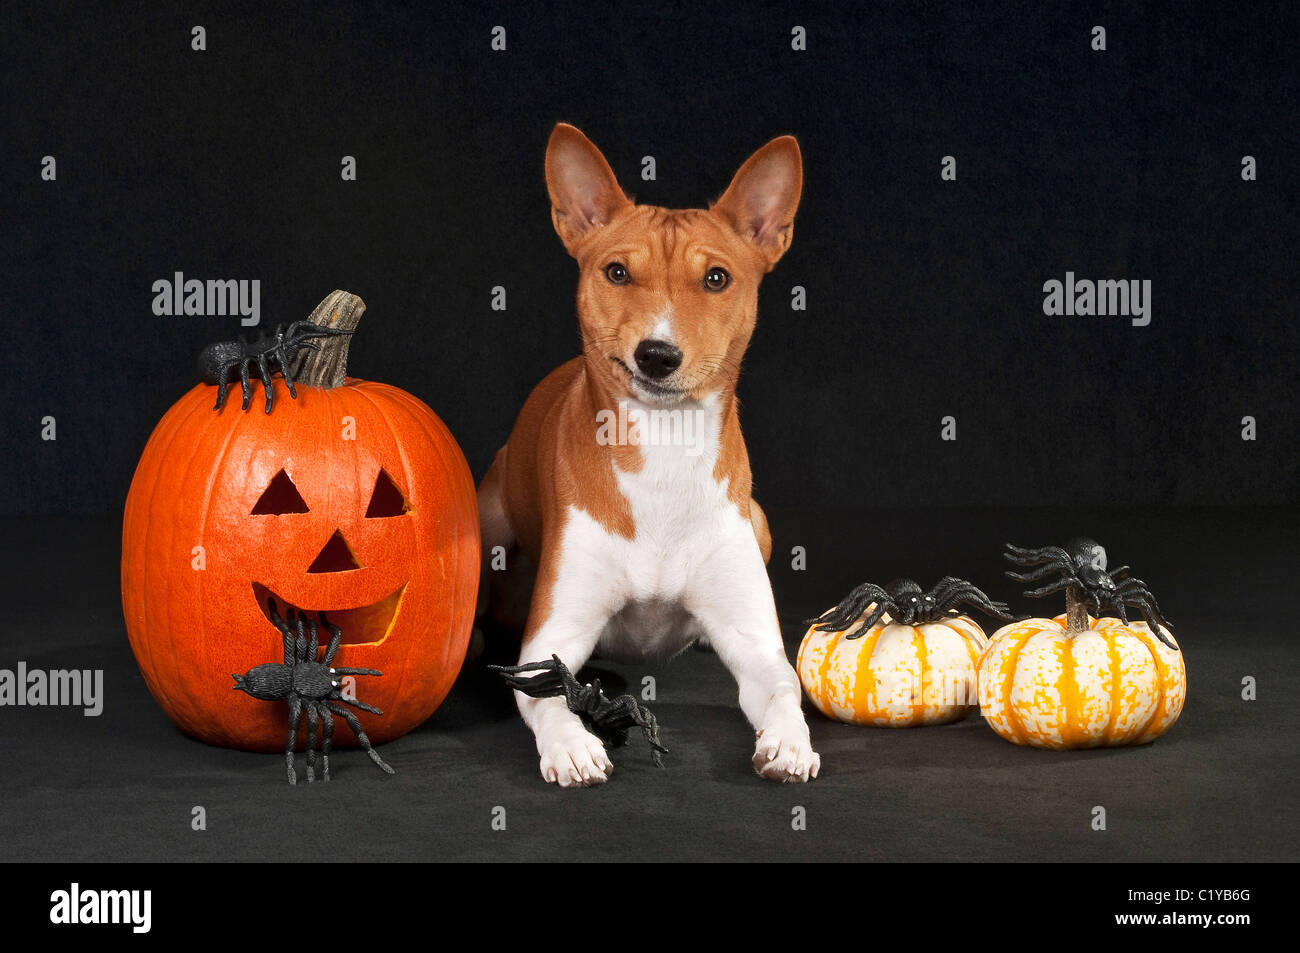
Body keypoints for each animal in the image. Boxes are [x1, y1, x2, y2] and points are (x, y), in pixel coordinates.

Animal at [478, 122, 821, 785]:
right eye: (616, 272)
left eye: (716, 279)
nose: (657, 355)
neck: (665, 451)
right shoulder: (550, 638)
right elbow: (550, 694)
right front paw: (573, 744)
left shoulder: (755, 643)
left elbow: (783, 688)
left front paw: (790, 742)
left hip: (760, 521)